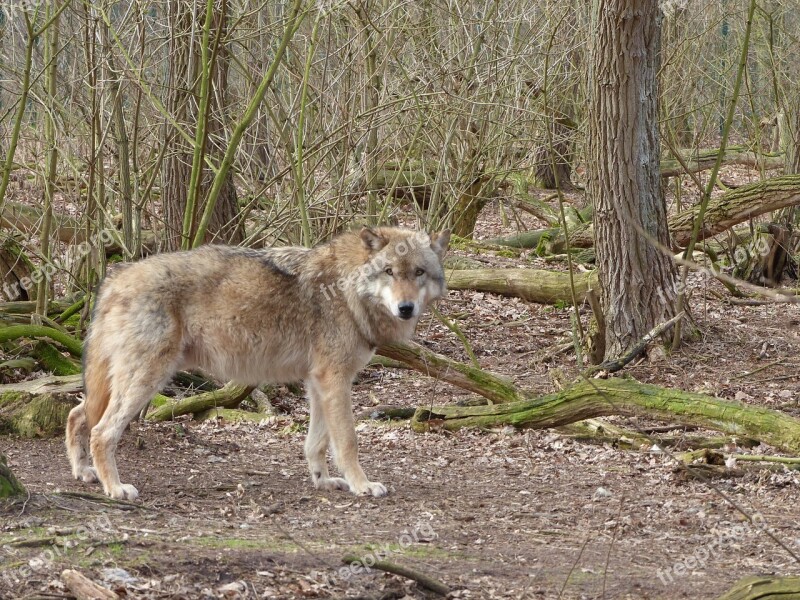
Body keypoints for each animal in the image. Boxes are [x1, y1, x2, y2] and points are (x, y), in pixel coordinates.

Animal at [64, 227, 450, 500]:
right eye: (389, 271)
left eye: (418, 272)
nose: (406, 308)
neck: (348, 289)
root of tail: (116, 276)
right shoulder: (335, 379)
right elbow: (347, 441)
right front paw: (363, 485)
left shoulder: (318, 382)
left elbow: (316, 442)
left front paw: (323, 481)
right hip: (147, 379)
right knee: (101, 431)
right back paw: (115, 489)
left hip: (118, 382)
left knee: (77, 414)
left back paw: (84, 473)